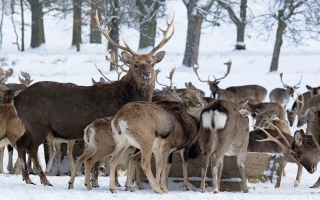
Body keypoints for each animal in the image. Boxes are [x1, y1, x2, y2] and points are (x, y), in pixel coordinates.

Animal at [12, 10, 174, 186]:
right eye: (135, 64)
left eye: (152, 63)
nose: (147, 73)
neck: (124, 97)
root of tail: (16, 99)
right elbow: (105, 159)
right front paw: (102, 182)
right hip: (38, 123)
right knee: (32, 148)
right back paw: (44, 180)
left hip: (29, 124)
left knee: (20, 143)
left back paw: (28, 178)